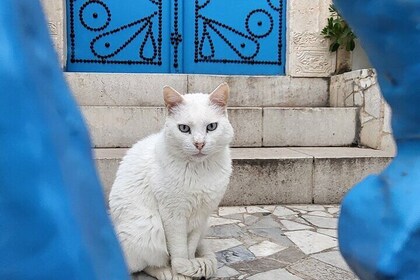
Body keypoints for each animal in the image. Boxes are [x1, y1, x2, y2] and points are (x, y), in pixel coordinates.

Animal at [109, 82, 233, 278]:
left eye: (211, 127)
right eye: (184, 128)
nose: (199, 144)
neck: (199, 171)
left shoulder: (201, 217)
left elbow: (189, 249)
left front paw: (189, 268)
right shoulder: (173, 216)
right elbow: (179, 251)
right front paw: (181, 273)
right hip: (148, 227)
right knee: (145, 264)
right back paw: (165, 272)